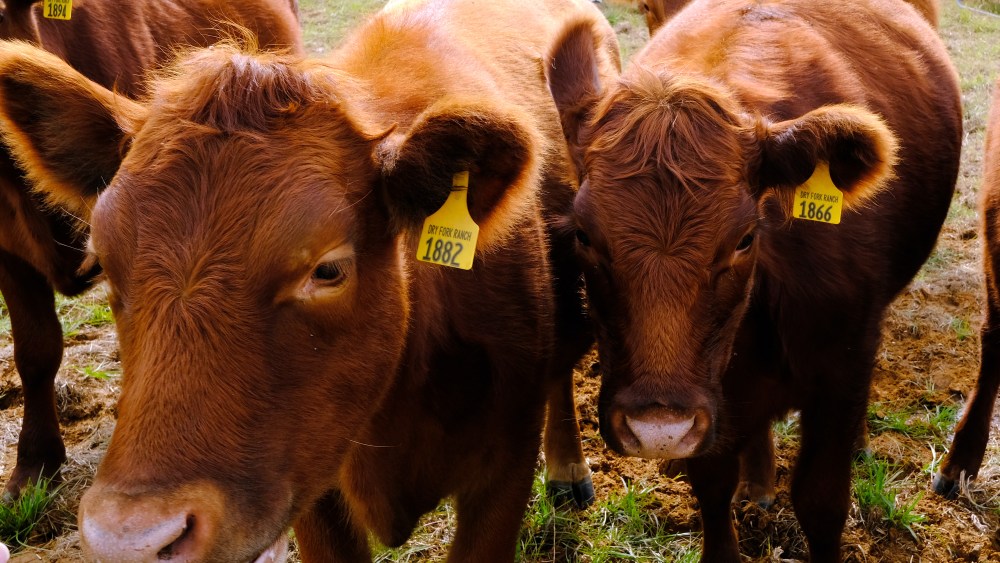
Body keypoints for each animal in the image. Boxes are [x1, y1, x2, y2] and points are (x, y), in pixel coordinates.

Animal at [562, 0, 962, 560]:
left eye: (745, 238)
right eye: (583, 234)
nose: (658, 429)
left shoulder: (843, 366)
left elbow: (821, 499)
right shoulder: (714, 396)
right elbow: (712, 483)